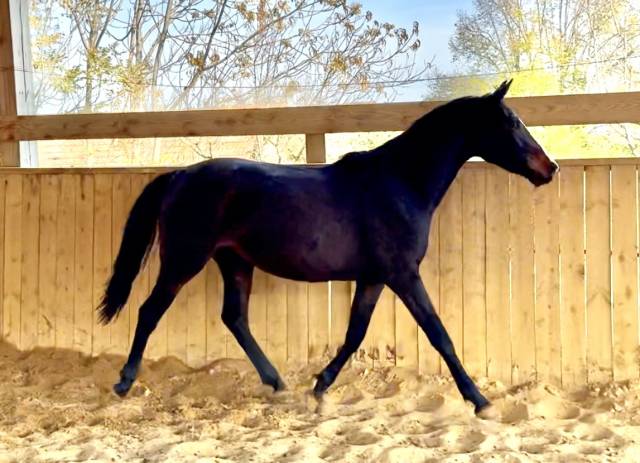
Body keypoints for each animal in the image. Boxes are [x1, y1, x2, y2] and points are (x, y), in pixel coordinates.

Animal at [98, 79, 557, 416]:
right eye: (512, 122)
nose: (549, 168)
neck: (400, 183)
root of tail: (179, 176)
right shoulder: (403, 274)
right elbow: (439, 334)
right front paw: (480, 401)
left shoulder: (373, 277)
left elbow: (354, 335)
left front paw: (319, 387)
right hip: (184, 260)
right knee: (150, 311)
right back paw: (124, 381)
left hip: (234, 261)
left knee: (235, 318)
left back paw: (278, 382)